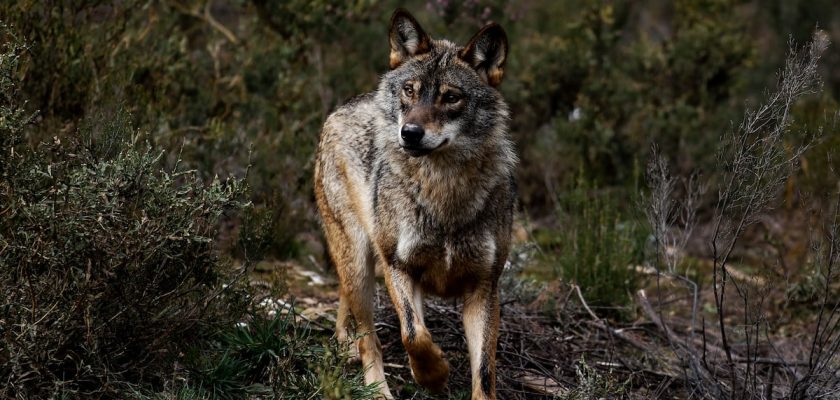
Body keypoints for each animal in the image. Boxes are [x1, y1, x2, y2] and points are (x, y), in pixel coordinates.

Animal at [314, 9, 516, 400]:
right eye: (410, 91)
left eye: (451, 97)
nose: (409, 133)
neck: (444, 194)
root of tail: (344, 106)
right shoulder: (399, 267)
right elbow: (414, 335)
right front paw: (434, 375)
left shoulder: (485, 287)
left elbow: (485, 371)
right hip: (360, 262)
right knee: (369, 339)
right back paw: (377, 390)